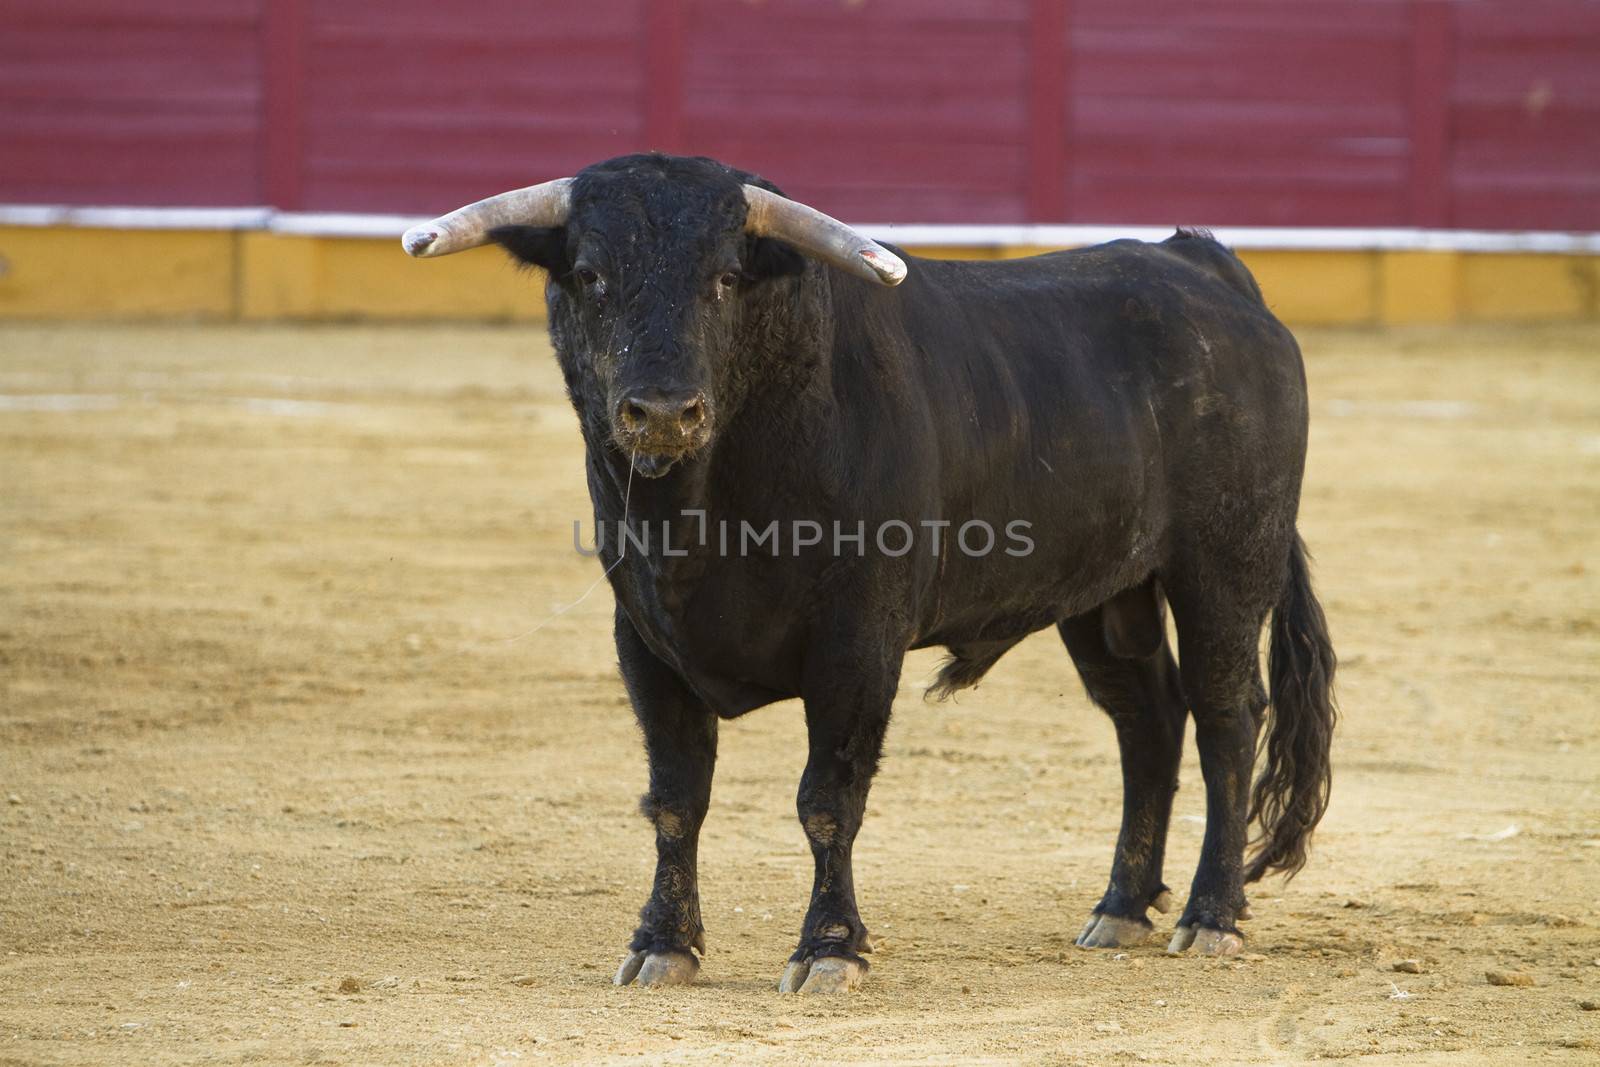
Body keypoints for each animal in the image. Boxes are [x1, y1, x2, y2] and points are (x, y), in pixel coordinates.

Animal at [406, 156, 1331, 991]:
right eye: (590, 274)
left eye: (726, 277)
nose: (664, 413)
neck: (704, 509)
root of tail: (1206, 270)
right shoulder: (644, 639)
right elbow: (675, 797)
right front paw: (662, 944)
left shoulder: (857, 642)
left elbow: (828, 798)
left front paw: (830, 949)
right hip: (1106, 594)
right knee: (1147, 719)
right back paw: (1120, 907)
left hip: (1224, 564)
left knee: (1226, 716)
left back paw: (1210, 916)